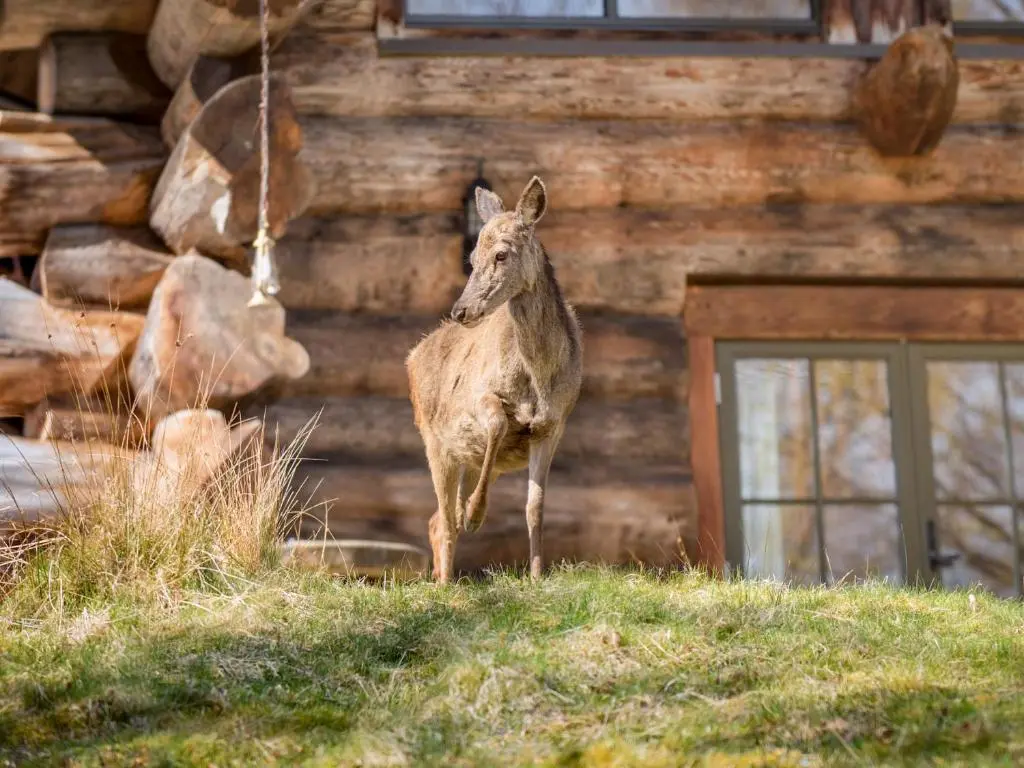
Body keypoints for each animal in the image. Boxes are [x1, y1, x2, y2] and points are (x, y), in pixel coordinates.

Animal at [406, 176, 583, 584]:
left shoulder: (554, 425)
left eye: (501, 254)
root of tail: (413, 355)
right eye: (471, 259)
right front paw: (475, 514)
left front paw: (537, 575)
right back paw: (445, 580)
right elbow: (500, 423)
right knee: (444, 519)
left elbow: (535, 505)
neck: (538, 380)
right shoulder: (480, 397)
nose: (461, 310)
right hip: (434, 440)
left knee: (437, 519)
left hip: (463, 458)